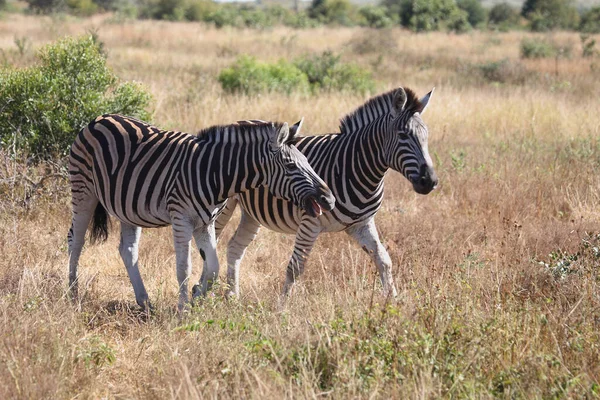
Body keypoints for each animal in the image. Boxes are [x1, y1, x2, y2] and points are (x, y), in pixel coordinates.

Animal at [69, 113, 338, 310]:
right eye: (291, 166)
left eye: (308, 162)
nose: (329, 199)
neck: (215, 173)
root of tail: (99, 118)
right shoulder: (181, 219)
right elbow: (184, 267)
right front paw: (183, 310)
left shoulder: (205, 223)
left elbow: (213, 268)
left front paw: (197, 297)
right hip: (84, 190)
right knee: (76, 240)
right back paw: (73, 294)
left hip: (127, 208)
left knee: (128, 250)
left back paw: (144, 302)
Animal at [211, 88, 436, 300]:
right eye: (403, 135)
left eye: (426, 136)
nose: (430, 181)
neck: (353, 166)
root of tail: (239, 122)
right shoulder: (310, 221)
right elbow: (295, 268)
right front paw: (282, 308)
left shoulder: (361, 224)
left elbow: (383, 259)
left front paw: (393, 302)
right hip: (222, 205)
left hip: (251, 214)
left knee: (235, 246)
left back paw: (233, 296)